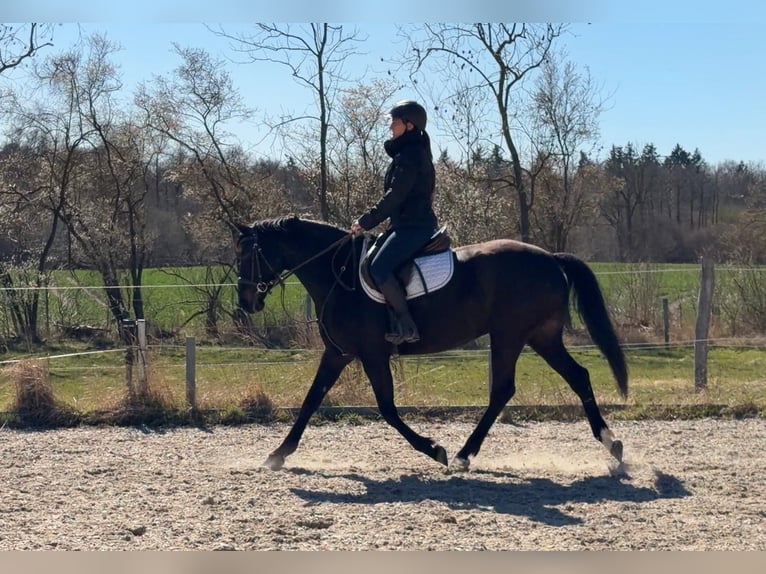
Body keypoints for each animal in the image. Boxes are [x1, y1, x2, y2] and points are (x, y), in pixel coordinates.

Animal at [233, 216, 628, 472]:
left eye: (248, 255)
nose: (246, 302)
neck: (339, 275)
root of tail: (550, 258)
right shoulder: (338, 354)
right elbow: (310, 401)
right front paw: (278, 454)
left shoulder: (373, 354)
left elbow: (388, 410)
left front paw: (434, 449)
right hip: (540, 337)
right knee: (577, 377)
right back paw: (611, 443)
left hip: (510, 335)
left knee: (504, 389)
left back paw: (464, 455)